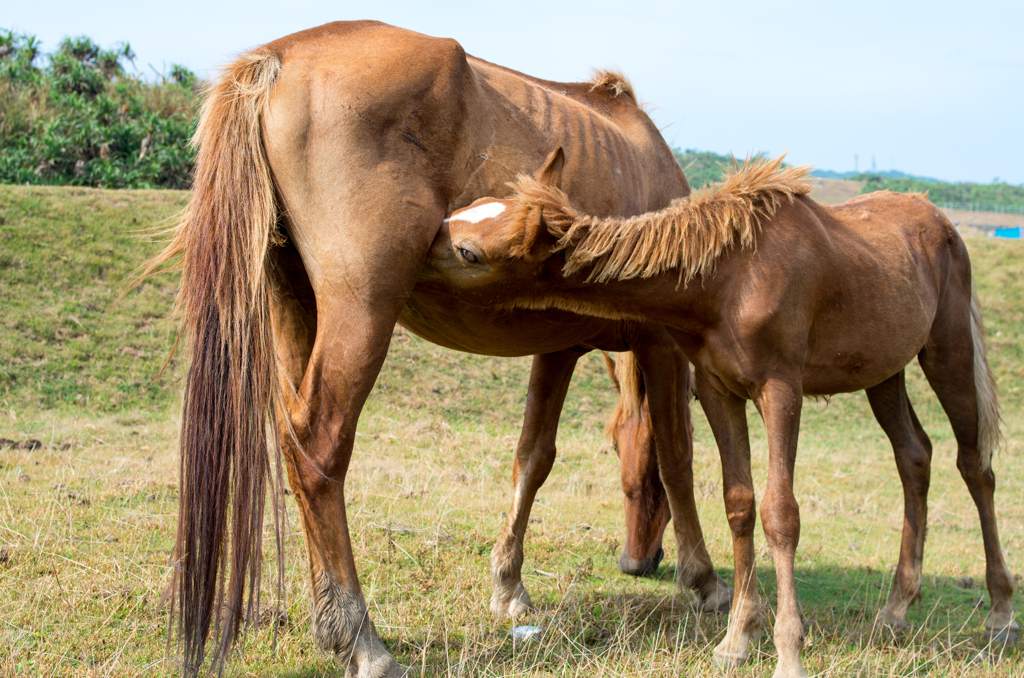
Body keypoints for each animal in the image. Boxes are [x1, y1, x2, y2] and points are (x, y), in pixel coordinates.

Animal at [148, 21, 733, 678]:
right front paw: (705, 580)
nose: (634, 563)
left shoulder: (556, 348)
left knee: (295, 447)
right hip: (361, 313)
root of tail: (278, 58)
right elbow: (680, 459)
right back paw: (361, 638)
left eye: (612, 445)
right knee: (319, 447)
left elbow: (533, 458)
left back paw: (328, 620)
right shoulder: (663, 347)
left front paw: (509, 585)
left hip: (291, 302)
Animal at [421, 155, 1015, 678]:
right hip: (883, 373)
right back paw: (896, 607)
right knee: (914, 456)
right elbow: (740, 504)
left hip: (947, 352)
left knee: (975, 466)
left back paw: (1001, 613)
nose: (419, 248)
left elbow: (780, 513)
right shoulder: (717, 391)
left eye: (470, 253)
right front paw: (737, 639)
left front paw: (788, 653)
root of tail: (942, 220)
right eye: (464, 210)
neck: (729, 277)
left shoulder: (780, 389)